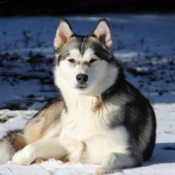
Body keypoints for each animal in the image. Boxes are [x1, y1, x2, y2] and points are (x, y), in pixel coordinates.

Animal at [0, 18, 157, 174]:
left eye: (93, 60)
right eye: (71, 60)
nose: (81, 77)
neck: (85, 103)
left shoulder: (131, 154)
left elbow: (111, 155)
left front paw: (103, 168)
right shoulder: (65, 141)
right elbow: (30, 148)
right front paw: (18, 158)